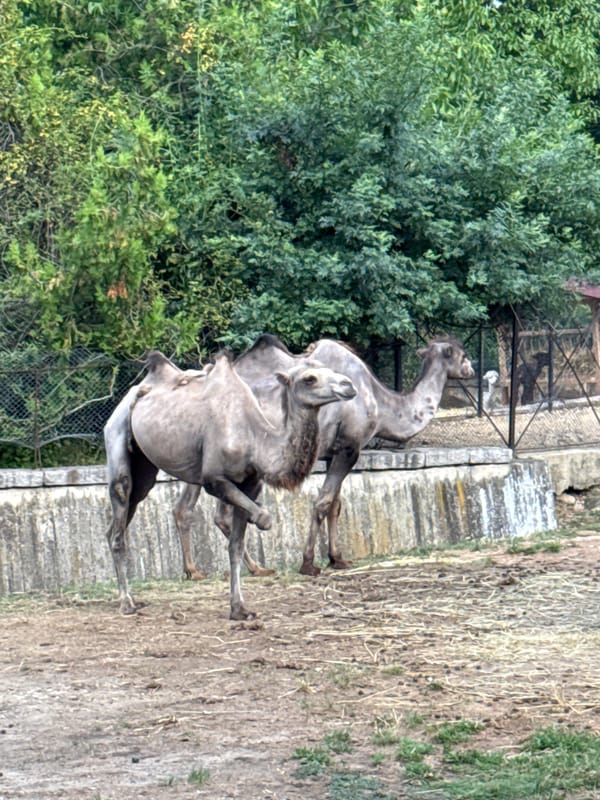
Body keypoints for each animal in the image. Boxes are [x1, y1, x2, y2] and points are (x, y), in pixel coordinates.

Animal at [104, 349, 356, 619]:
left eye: (329, 369)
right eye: (309, 379)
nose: (349, 385)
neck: (256, 439)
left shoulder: (249, 483)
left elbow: (235, 545)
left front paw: (239, 608)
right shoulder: (214, 480)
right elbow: (263, 518)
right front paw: (259, 522)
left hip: (143, 469)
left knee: (120, 519)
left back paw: (126, 595)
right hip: (117, 435)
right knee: (120, 506)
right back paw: (127, 602)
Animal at [177, 334, 474, 577]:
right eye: (462, 355)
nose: (471, 369)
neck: (380, 404)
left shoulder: (334, 452)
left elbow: (335, 505)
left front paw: (337, 559)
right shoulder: (350, 447)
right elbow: (323, 502)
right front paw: (309, 563)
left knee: (189, 509)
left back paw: (199, 570)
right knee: (221, 512)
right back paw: (250, 568)